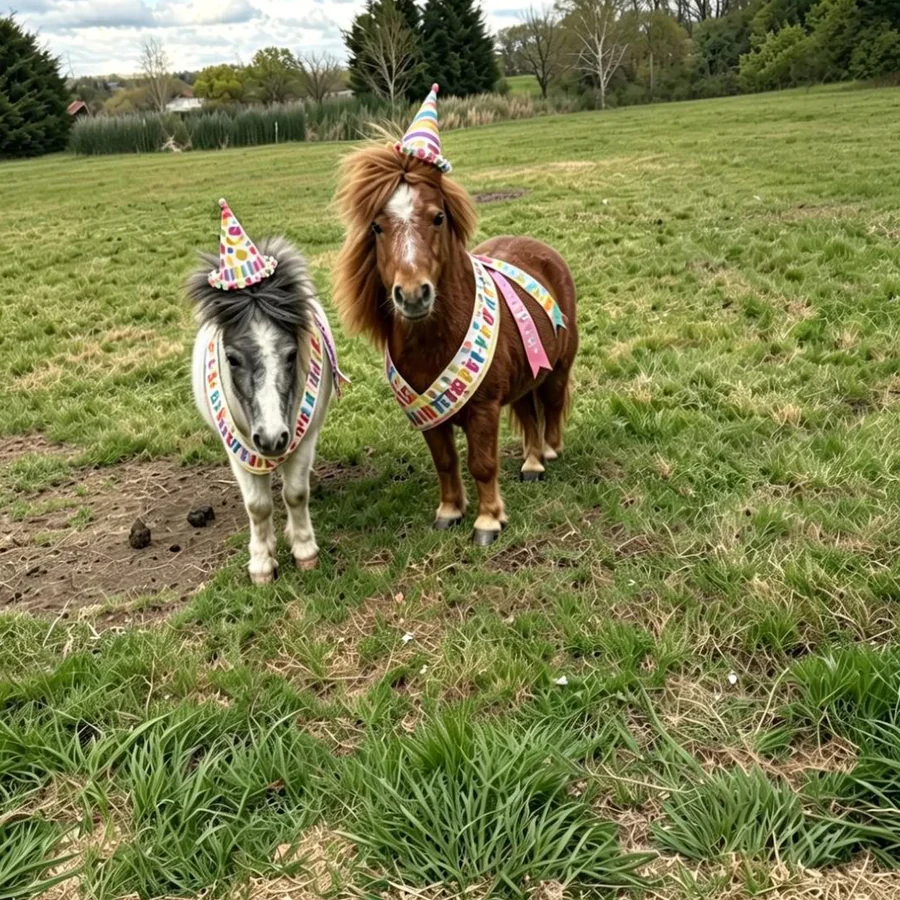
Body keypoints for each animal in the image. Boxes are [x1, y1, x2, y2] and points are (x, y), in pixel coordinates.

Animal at [187, 235, 339, 583]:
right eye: (232, 358)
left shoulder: (302, 439)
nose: (272, 438)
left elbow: (295, 494)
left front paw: (304, 551)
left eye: (291, 354)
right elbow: (257, 506)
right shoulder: (237, 450)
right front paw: (261, 564)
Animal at [333, 144, 578, 545]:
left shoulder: (483, 410)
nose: (413, 295)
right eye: (376, 227)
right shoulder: (427, 416)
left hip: (558, 367)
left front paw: (488, 521)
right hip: (524, 376)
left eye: (438, 218)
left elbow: (482, 464)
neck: (434, 345)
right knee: (529, 415)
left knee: (553, 406)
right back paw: (531, 463)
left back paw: (549, 452)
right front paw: (450, 512)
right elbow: (446, 462)